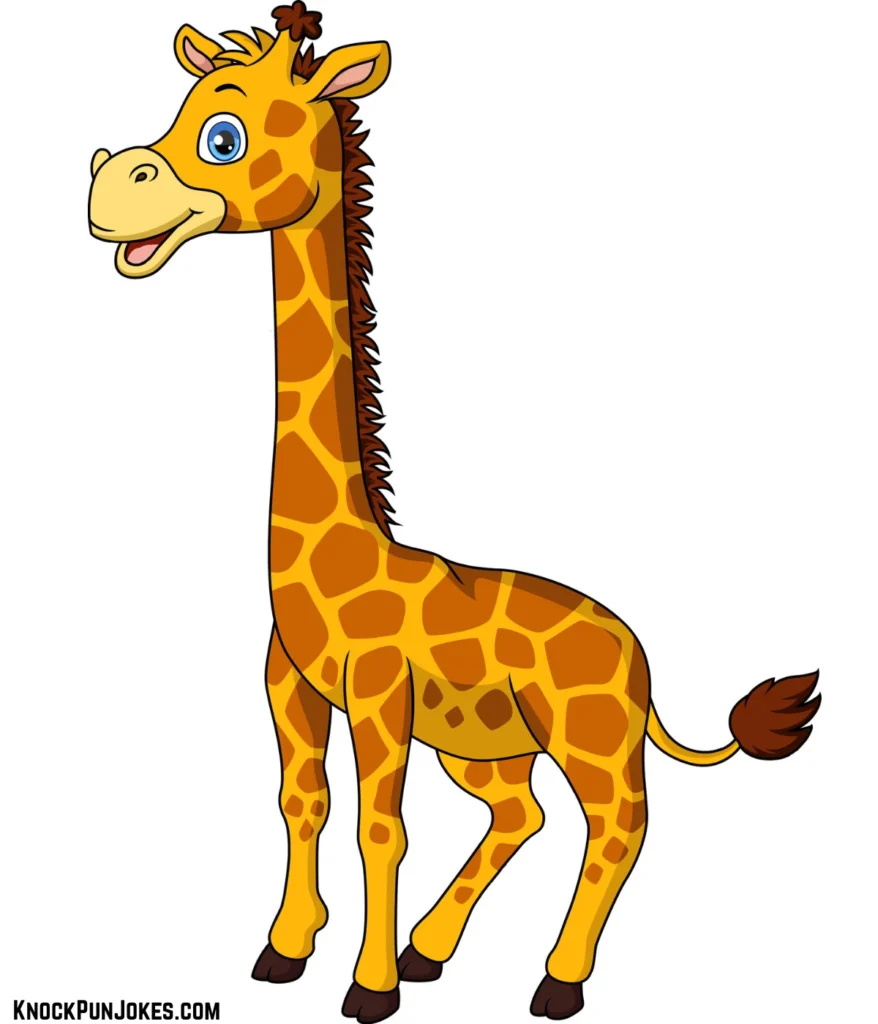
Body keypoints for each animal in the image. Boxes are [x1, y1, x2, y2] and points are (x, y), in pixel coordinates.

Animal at [87, 6, 822, 1021]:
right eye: (179, 110)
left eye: (223, 136)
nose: (107, 188)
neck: (343, 554)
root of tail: (639, 658)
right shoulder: (287, 683)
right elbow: (302, 802)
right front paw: (286, 950)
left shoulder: (378, 690)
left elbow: (380, 826)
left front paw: (369, 988)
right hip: (488, 746)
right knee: (523, 813)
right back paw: (434, 949)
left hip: (590, 740)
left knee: (620, 827)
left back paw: (556, 981)